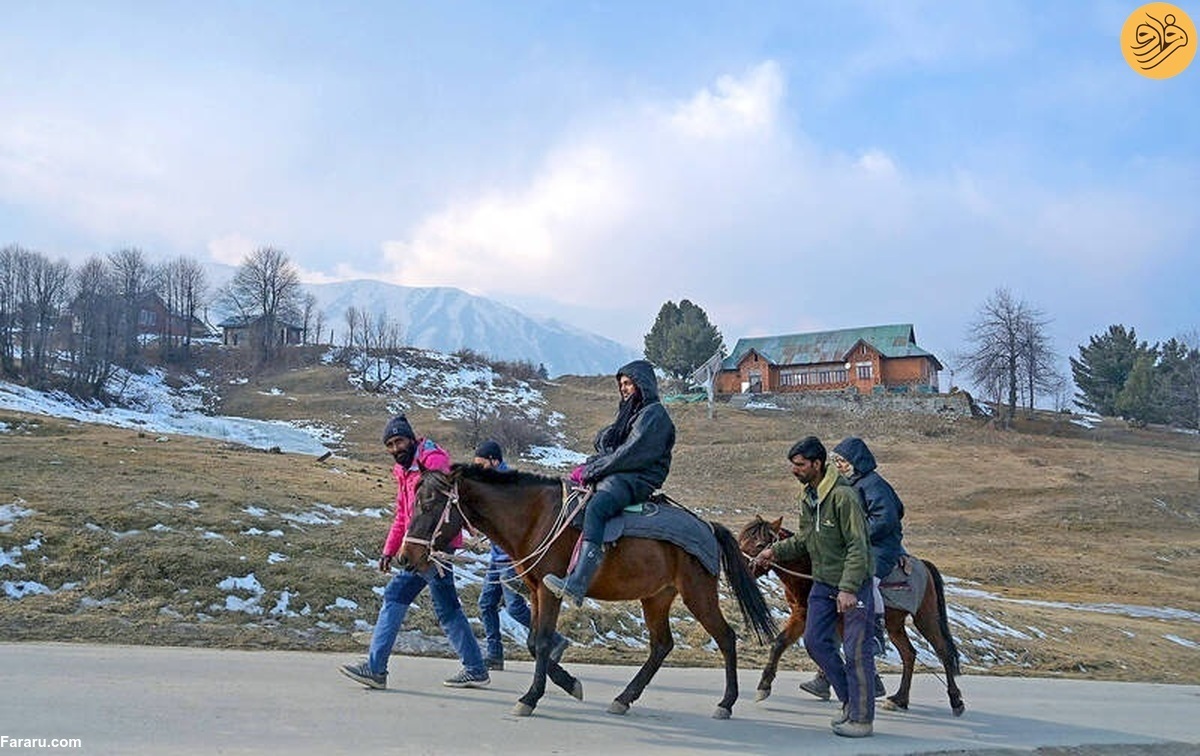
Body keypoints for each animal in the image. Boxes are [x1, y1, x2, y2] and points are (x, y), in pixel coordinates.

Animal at [400, 465, 777, 720]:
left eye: (430, 503)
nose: (406, 557)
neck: (535, 517)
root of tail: (708, 527)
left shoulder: (549, 590)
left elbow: (542, 642)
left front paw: (531, 697)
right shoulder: (535, 591)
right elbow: (534, 642)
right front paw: (569, 684)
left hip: (697, 593)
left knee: (726, 637)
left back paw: (726, 703)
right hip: (656, 597)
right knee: (661, 645)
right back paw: (624, 698)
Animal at [734, 516, 960, 715]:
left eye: (759, 543)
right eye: (741, 539)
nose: (738, 567)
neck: (810, 569)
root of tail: (923, 565)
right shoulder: (802, 615)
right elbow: (781, 643)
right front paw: (764, 686)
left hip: (925, 617)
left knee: (943, 651)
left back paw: (955, 700)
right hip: (894, 624)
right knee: (909, 654)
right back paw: (899, 699)